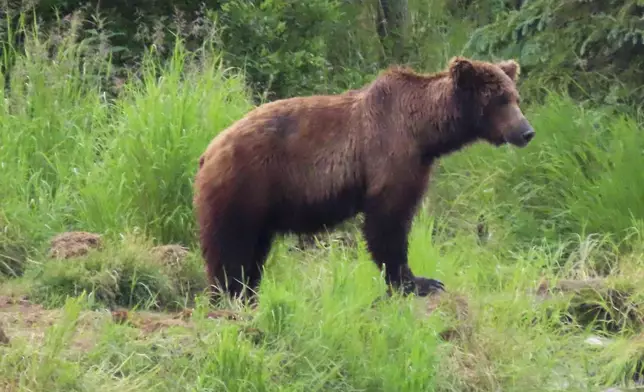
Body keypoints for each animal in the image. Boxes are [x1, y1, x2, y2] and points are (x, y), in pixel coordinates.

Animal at [194, 55, 536, 300]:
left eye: (515, 97)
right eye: (499, 100)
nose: (526, 132)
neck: (425, 133)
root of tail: (208, 151)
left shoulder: (418, 162)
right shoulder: (389, 155)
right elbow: (387, 221)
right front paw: (417, 281)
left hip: (260, 207)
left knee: (253, 251)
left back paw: (248, 294)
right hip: (243, 186)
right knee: (229, 248)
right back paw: (228, 295)